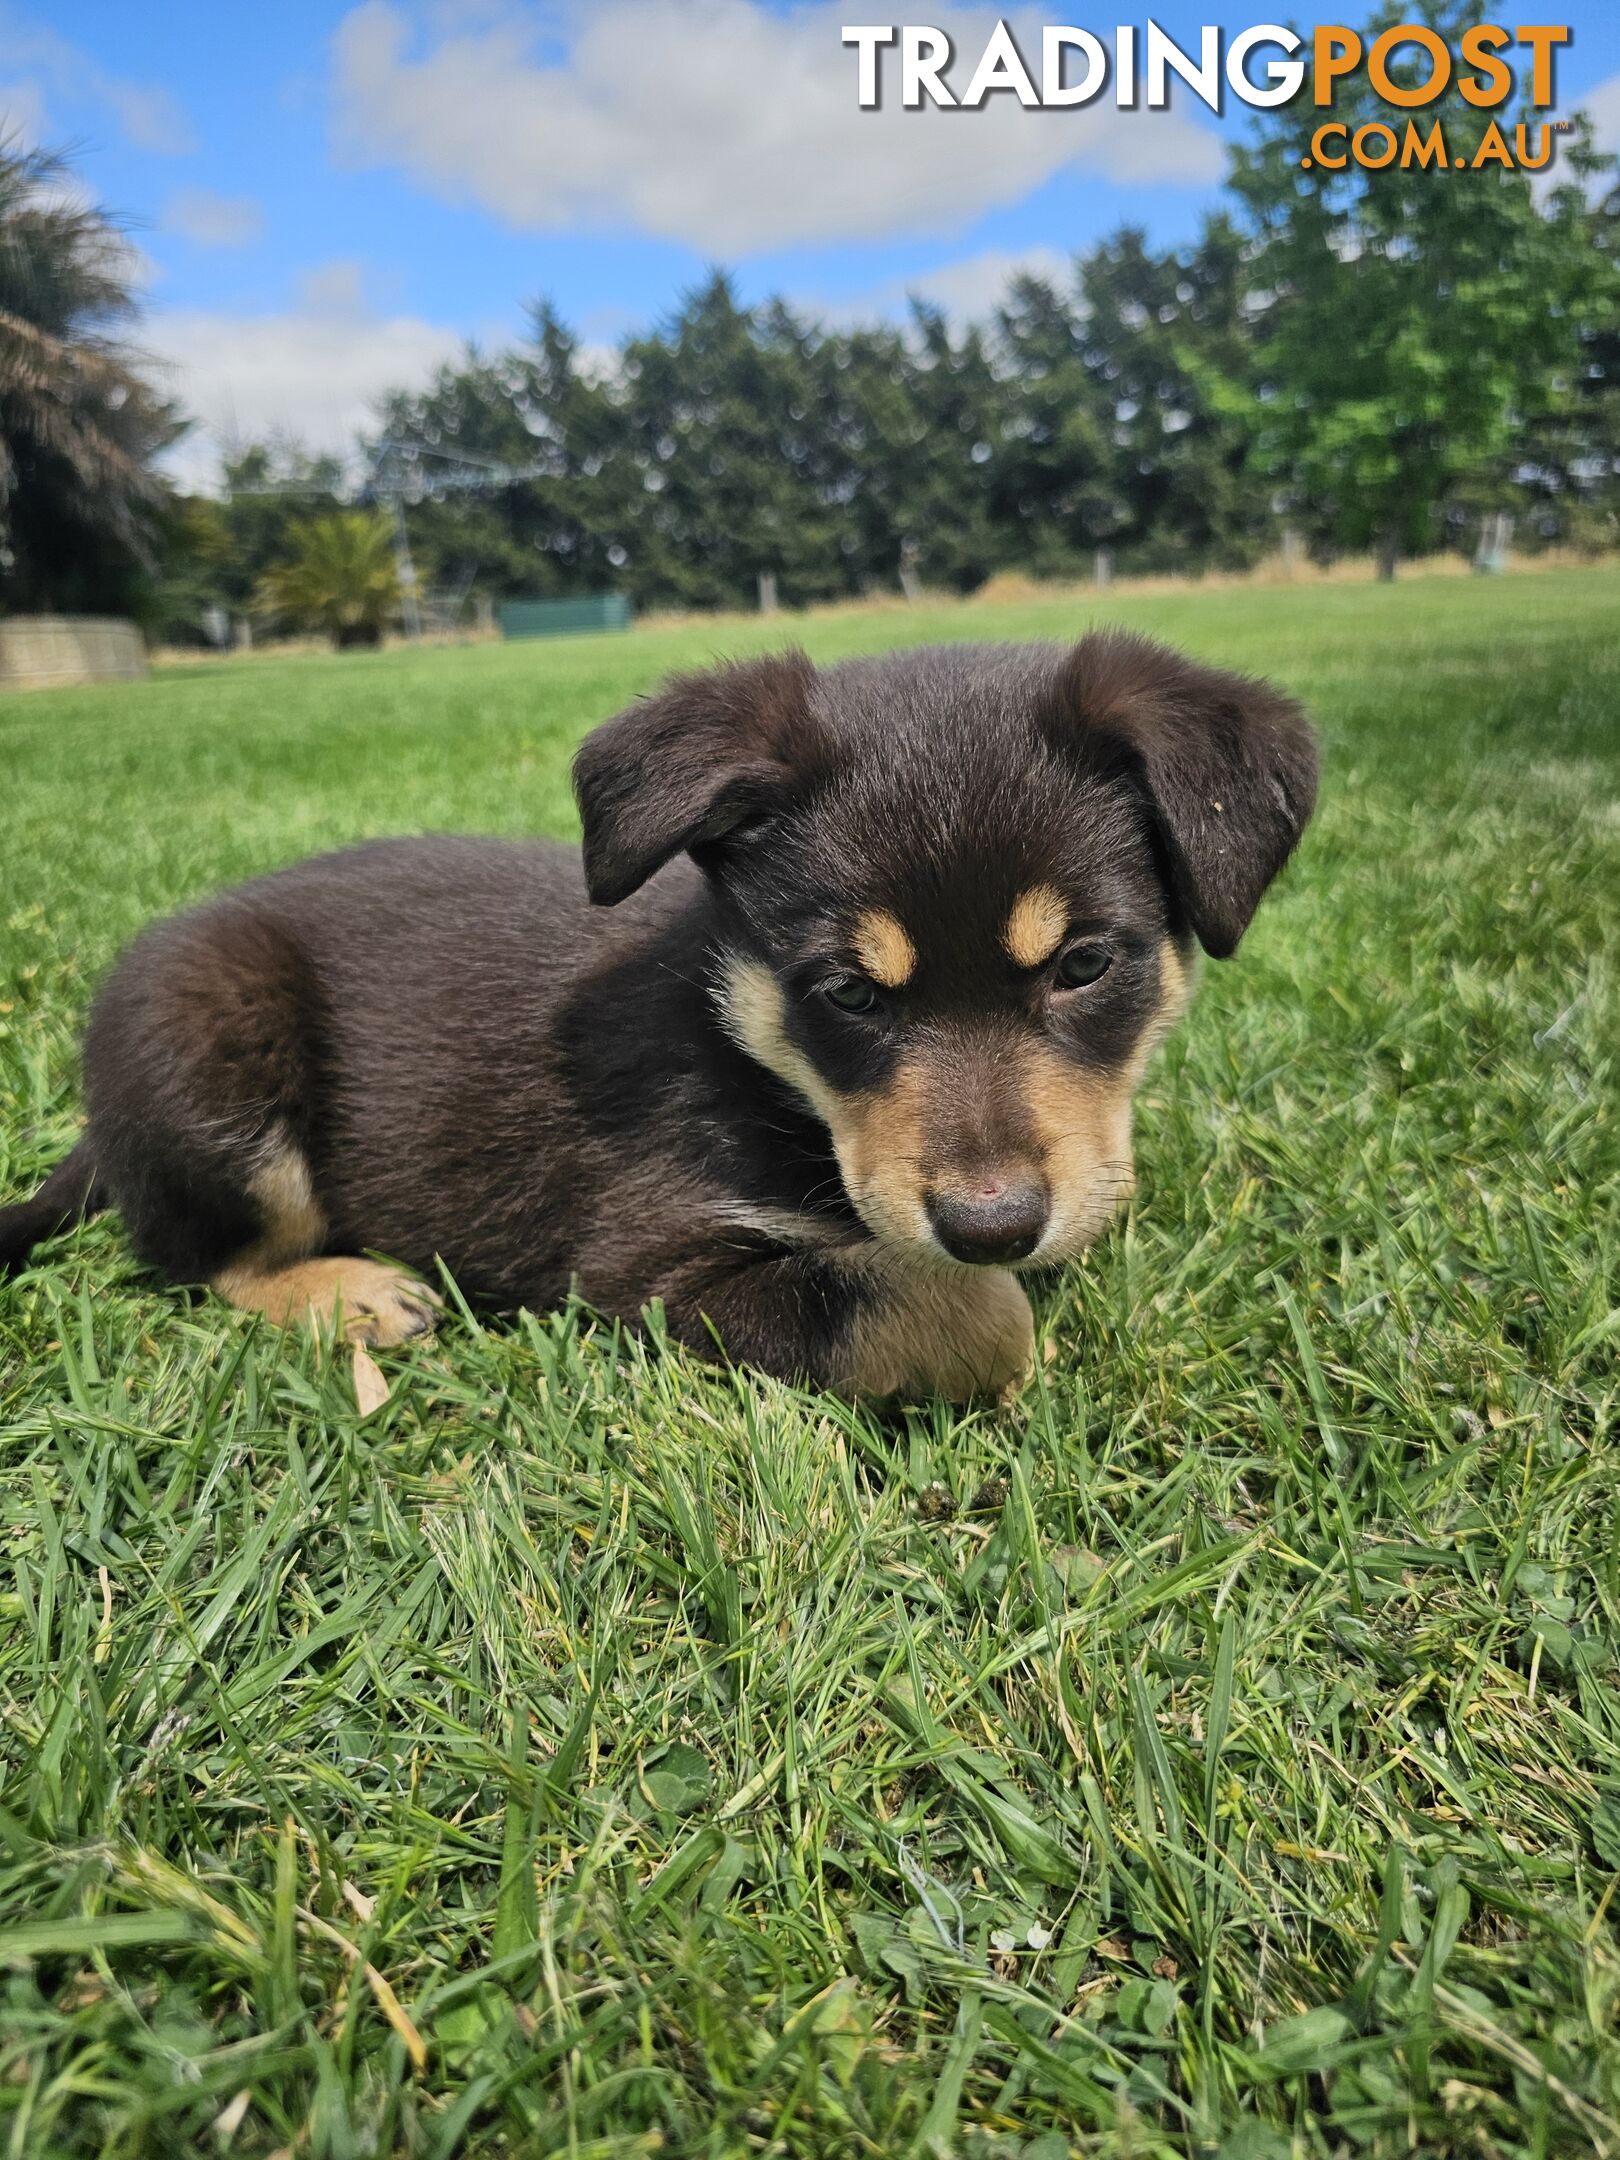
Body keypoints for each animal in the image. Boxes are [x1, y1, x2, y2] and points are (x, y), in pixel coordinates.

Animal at [0, 630, 1321, 1399]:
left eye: (1086, 965)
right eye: (846, 991)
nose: (990, 1223)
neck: (753, 1057)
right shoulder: (646, 1263)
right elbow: (952, 1310)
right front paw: (1006, 1327)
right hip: (210, 1052)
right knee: (197, 1260)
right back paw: (351, 1294)